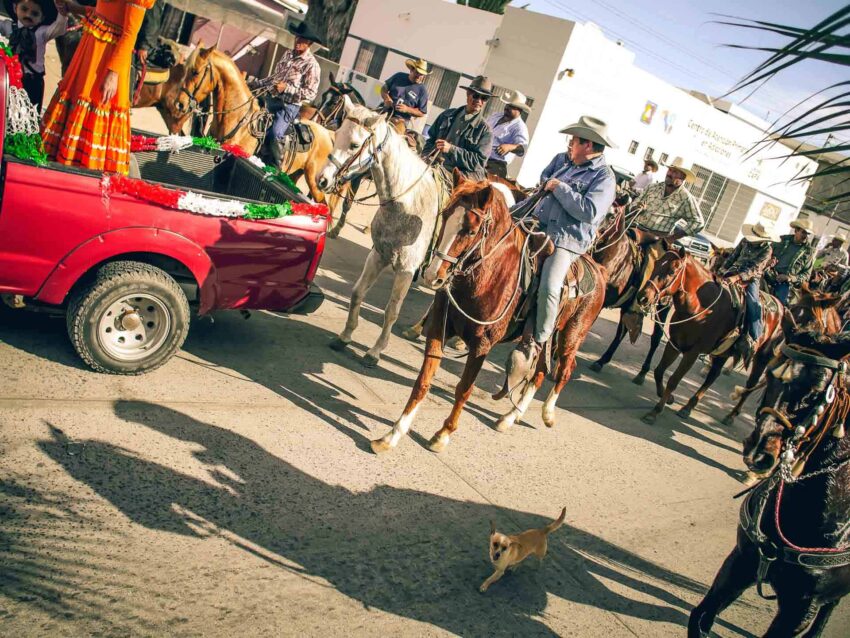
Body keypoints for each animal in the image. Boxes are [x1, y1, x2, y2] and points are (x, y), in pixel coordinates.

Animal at [314, 97, 440, 368]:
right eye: (336, 135)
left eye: (354, 144)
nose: (322, 180)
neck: (406, 203)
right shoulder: (378, 255)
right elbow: (357, 292)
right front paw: (345, 335)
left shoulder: (406, 270)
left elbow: (391, 310)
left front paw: (375, 351)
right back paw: (416, 330)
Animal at [370, 175, 604, 456]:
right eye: (444, 215)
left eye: (471, 230)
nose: (432, 275)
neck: (488, 278)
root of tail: (599, 269)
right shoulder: (439, 328)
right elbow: (423, 380)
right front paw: (392, 435)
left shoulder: (482, 344)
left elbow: (464, 389)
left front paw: (443, 434)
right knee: (539, 372)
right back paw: (510, 417)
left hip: (571, 335)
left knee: (566, 369)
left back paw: (547, 413)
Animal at [632, 249, 784, 424]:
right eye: (656, 263)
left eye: (672, 271)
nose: (643, 297)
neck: (699, 306)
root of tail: (782, 308)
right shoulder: (675, 344)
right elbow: (659, 371)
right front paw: (667, 397)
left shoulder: (693, 352)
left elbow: (674, 380)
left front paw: (655, 412)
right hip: (723, 353)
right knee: (713, 375)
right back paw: (688, 407)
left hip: (761, 358)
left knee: (749, 386)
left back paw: (730, 416)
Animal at [688, 330, 848, 638]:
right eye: (771, 378)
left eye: (814, 393)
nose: (758, 452)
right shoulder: (741, 563)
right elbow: (701, 618)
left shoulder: (801, 608)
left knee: (831, 606)